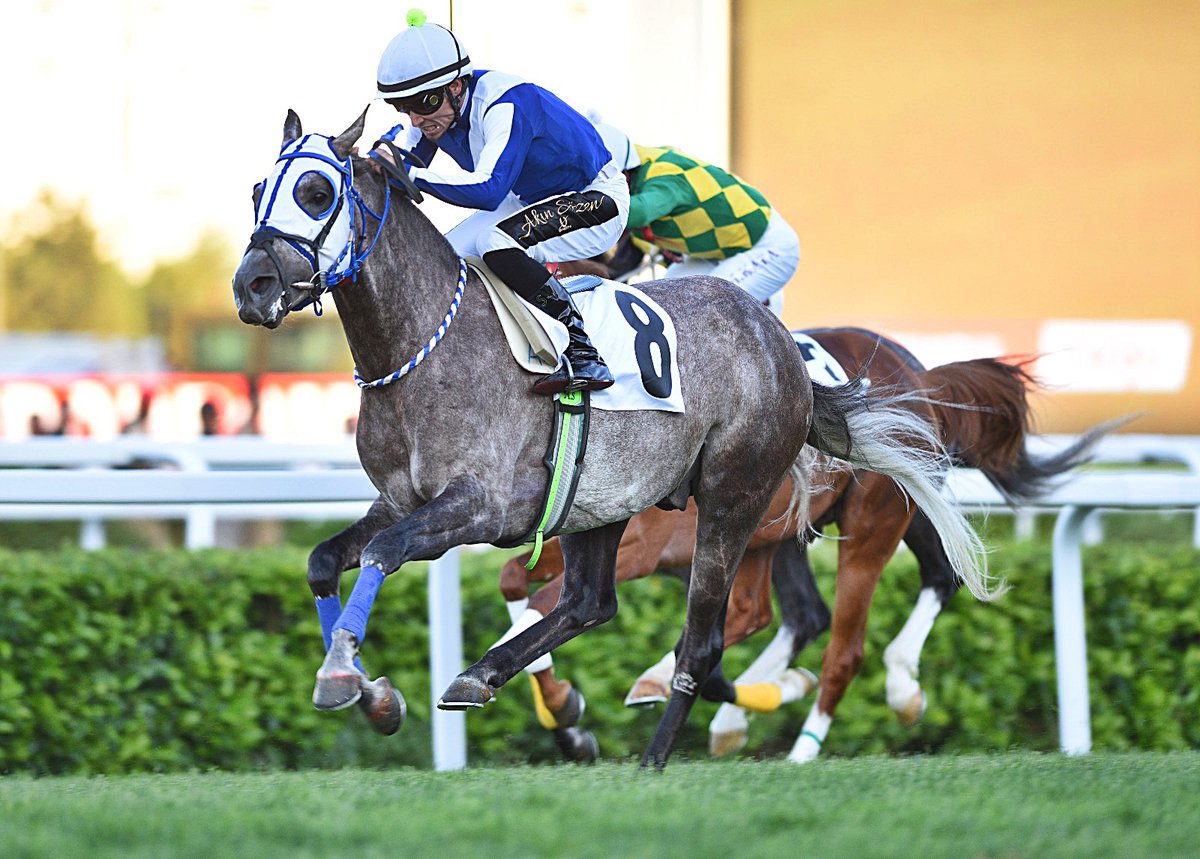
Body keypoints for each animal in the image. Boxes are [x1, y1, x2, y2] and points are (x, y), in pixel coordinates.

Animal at [229, 110, 988, 767]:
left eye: (317, 191)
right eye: (259, 190)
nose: (252, 285)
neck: (423, 349)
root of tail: (777, 343)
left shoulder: (479, 506)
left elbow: (385, 553)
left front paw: (345, 675)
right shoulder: (400, 499)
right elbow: (325, 560)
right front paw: (373, 692)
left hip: (749, 503)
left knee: (722, 640)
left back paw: (665, 753)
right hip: (608, 506)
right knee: (596, 604)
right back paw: (491, 678)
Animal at [492, 326, 1108, 763]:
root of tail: (919, 374)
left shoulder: (640, 549)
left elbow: (549, 605)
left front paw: (566, 711)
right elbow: (515, 581)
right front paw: (567, 719)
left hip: (868, 524)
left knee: (843, 645)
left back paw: (811, 739)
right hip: (794, 530)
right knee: (817, 605)